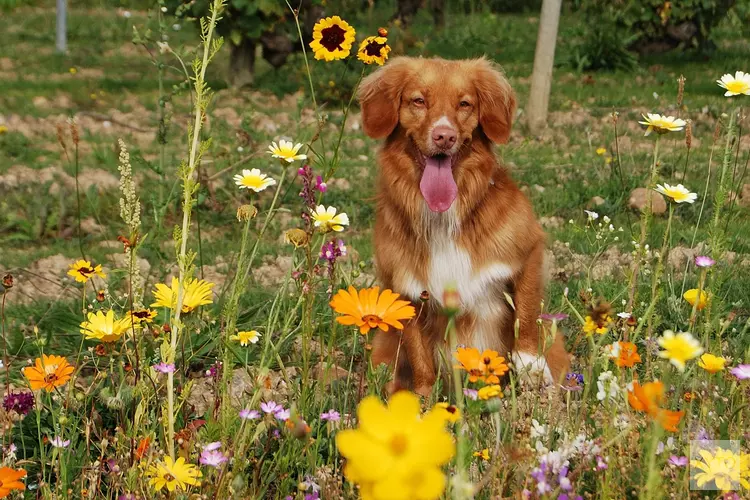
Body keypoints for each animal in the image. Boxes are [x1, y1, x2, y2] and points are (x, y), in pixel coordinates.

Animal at [358, 57, 568, 394]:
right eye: (419, 100)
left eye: (465, 104)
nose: (444, 136)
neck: (444, 217)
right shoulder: (406, 289)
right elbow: (419, 354)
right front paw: (423, 398)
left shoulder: (529, 250)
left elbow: (526, 312)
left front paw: (530, 366)